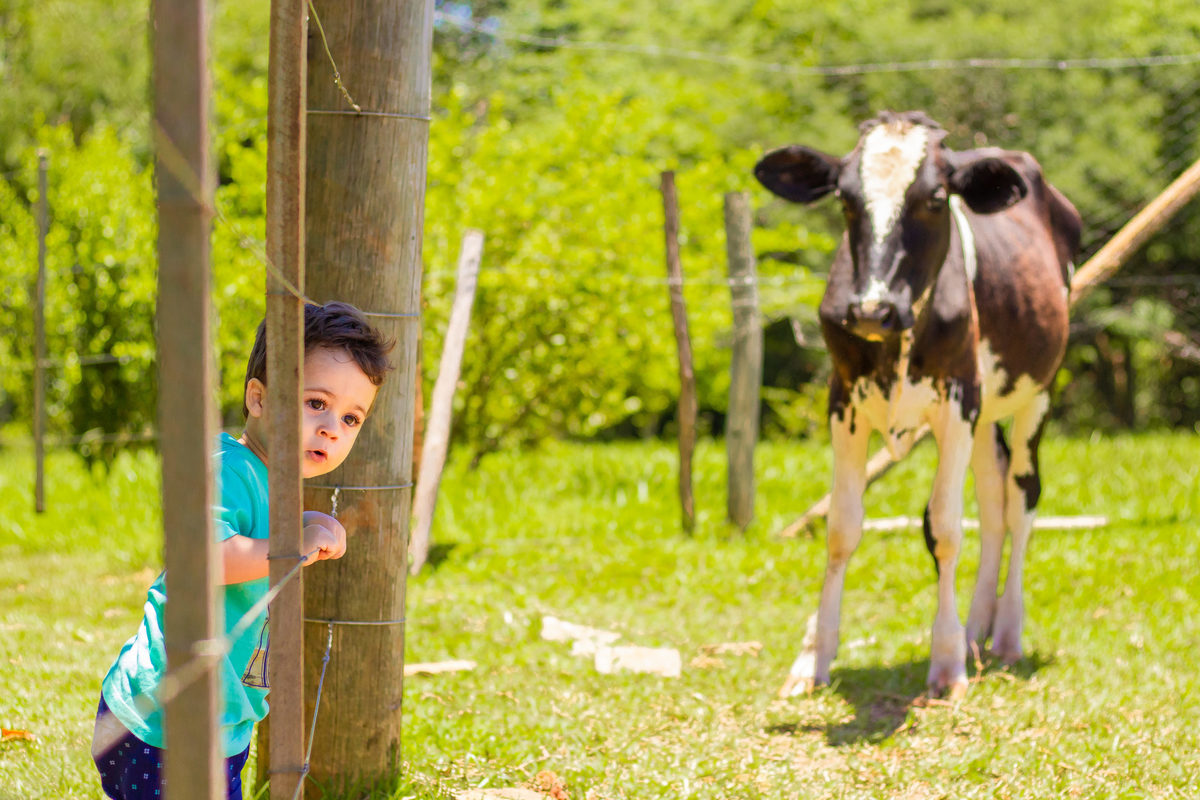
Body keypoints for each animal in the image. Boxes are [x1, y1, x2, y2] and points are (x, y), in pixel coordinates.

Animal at [755, 111, 1081, 698]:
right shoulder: (844, 400)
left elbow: (945, 527)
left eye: (934, 198)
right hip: (984, 414)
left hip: (1034, 394)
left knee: (1022, 499)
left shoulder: (957, 400)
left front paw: (947, 661)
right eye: (845, 200)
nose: (871, 309)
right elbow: (841, 527)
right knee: (994, 503)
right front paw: (813, 657)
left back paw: (1006, 633)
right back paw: (977, 628)